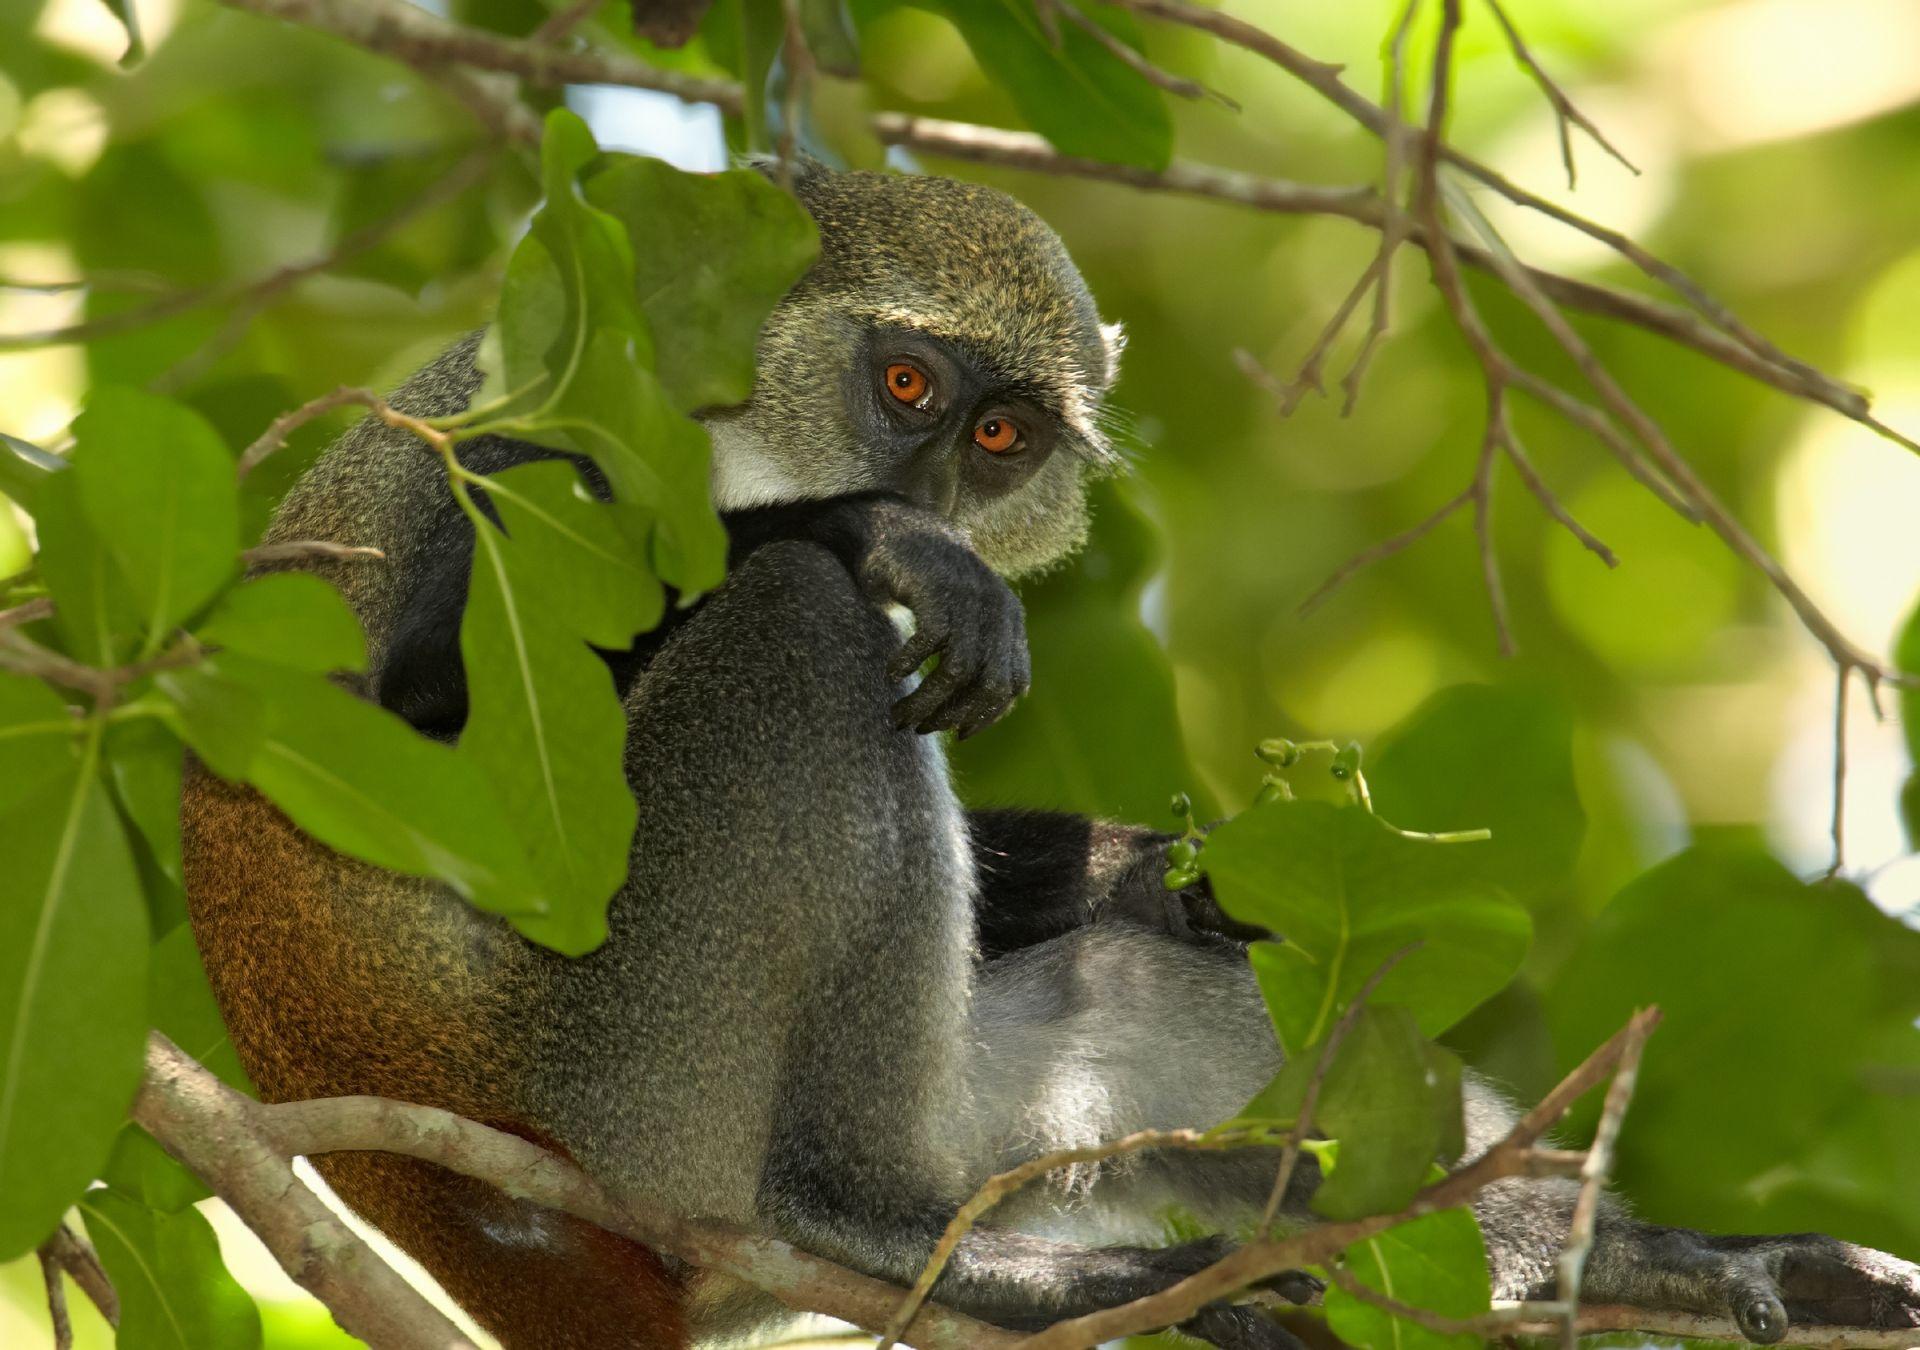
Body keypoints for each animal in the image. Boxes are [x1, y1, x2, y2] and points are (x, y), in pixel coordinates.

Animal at [182, 162, 1920, 1349]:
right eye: (907, 382)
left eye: (1006, 435)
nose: (940, 487)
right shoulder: (531, 451)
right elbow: (423, 732)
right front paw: (883, 538)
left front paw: (1162, 863)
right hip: (635, 1086)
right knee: (788, 627)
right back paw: (883, 1227)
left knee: (1150, 987)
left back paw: (1589, 1250)